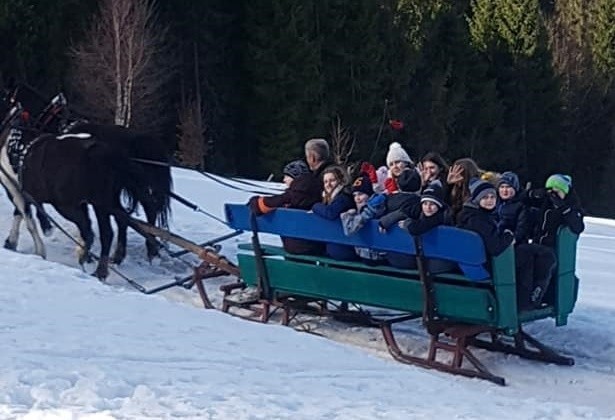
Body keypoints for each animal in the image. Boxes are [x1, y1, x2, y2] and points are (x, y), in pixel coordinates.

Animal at [5, 83, 173, 264]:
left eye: (7, 97)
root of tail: (147, 142)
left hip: (135, 185)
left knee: (149, 209)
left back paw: (150, 251)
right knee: (134, 213)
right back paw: (128, 254)